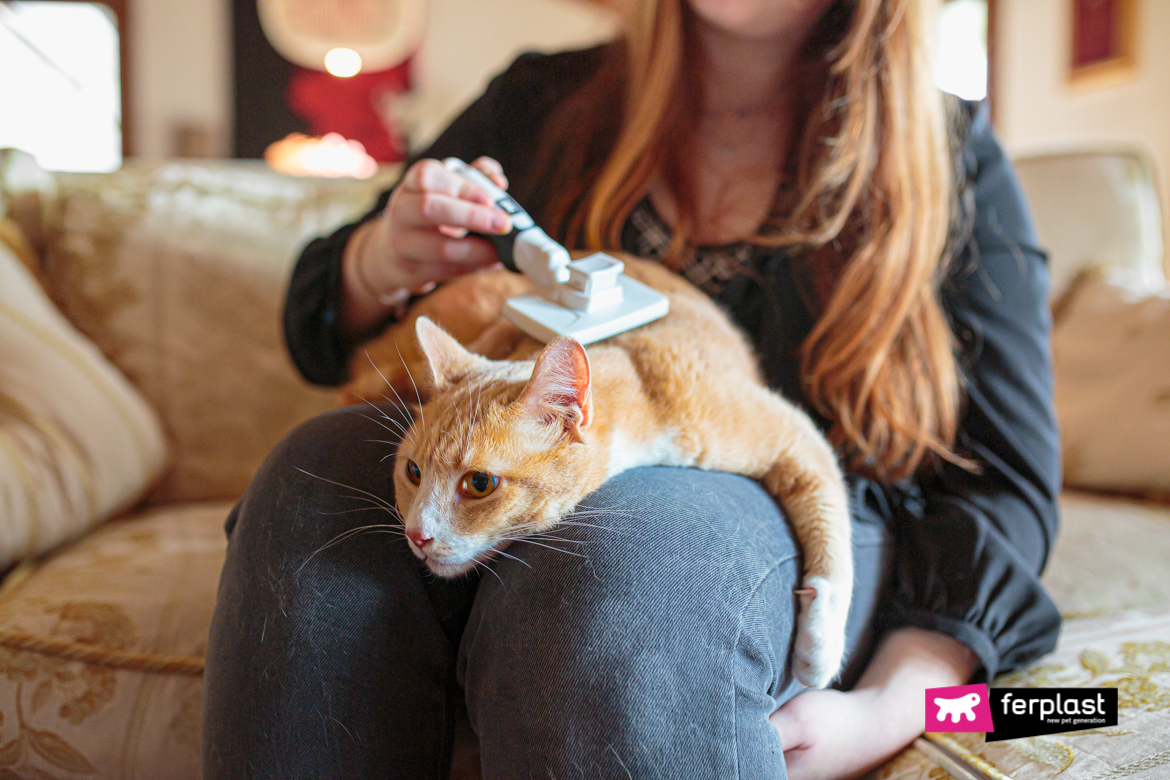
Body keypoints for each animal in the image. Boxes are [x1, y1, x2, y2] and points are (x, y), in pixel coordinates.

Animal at [348, 256, 851, 687]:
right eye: (413, 471)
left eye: (479, 484)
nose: (416, 535)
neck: (641, 376)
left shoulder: (794, 433)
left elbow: (831, 516)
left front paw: (820, 645)